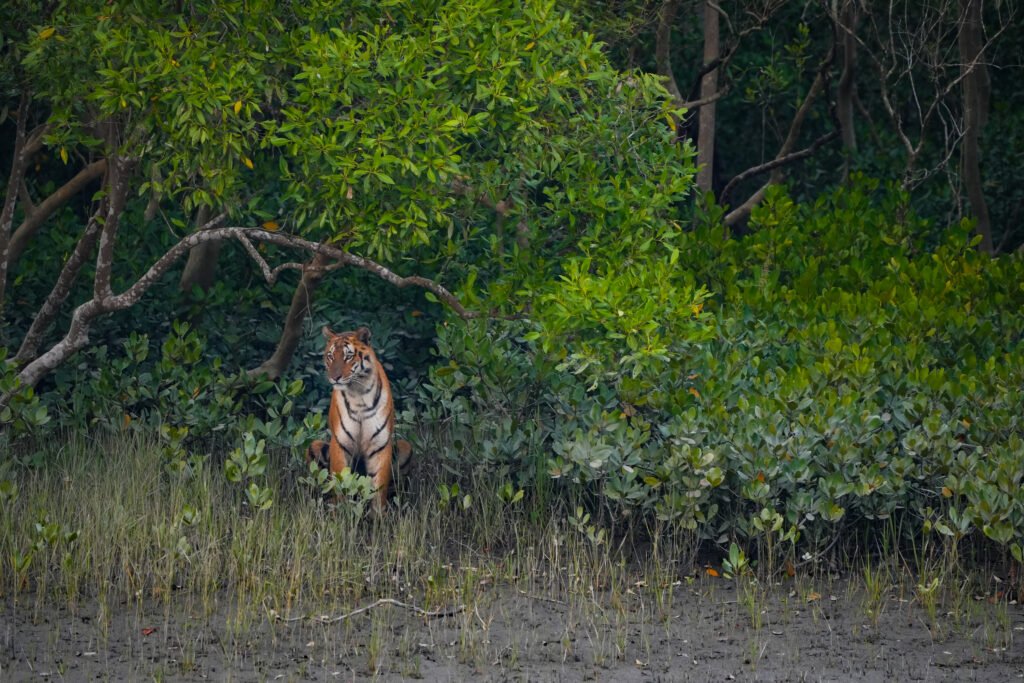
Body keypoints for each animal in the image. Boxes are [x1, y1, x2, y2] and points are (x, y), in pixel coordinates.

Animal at [305, 326, 411, 511]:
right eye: (330, 356)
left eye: (348, 356)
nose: (334, 377)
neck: (358, 393)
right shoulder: (340, 443)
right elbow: (340, 484)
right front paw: (341, 513)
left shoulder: (380, 445)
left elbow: (378, 489)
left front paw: (378, 516)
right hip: (314, 446)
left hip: (406, 448)